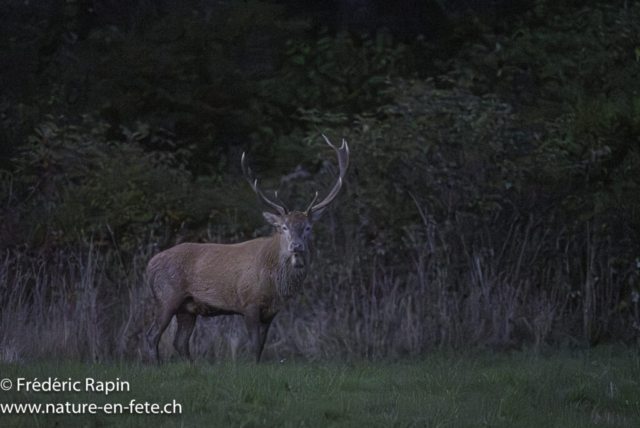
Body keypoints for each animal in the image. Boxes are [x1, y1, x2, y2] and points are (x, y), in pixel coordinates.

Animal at [145, 135, 349, 363]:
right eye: (283, 227)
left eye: (308, 227)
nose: (296, 245)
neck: (273, 284)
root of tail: (149, 266)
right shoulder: (248, 302)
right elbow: (253, 345)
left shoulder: (272, 311)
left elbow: (261, 346)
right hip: (166, 296)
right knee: (152, 334)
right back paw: (156, 365)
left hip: (187, 307)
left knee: (180, 341)